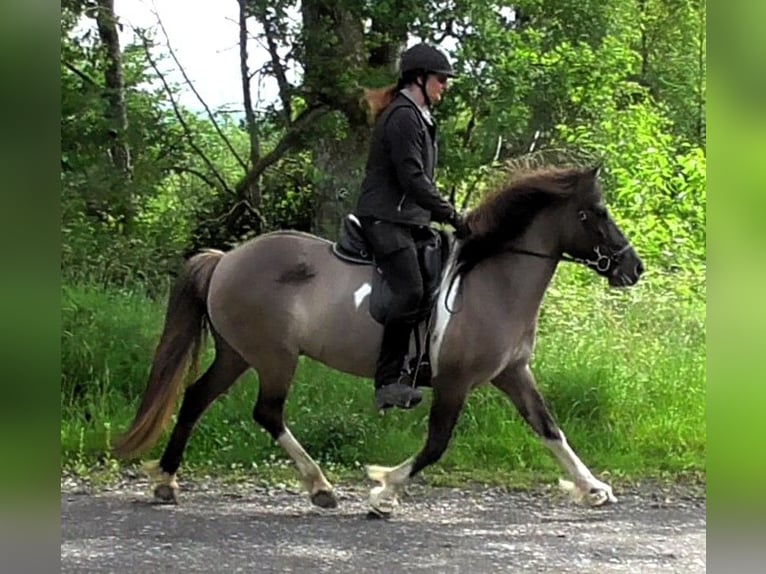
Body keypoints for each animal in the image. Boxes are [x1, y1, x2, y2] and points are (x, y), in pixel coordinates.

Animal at [114, 164, 644, 515]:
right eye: (597, 212)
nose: (633, 268)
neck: (492, 280)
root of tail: (225, 259)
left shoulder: (513, 374)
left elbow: (549, 427)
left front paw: (593, 487)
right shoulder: (454, 381)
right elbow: (435, 445)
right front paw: (383, 489)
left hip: (238, 353)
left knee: (197, 397)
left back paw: (167, 482)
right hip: (273, 357)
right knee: (267, 413)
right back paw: (320, 487)